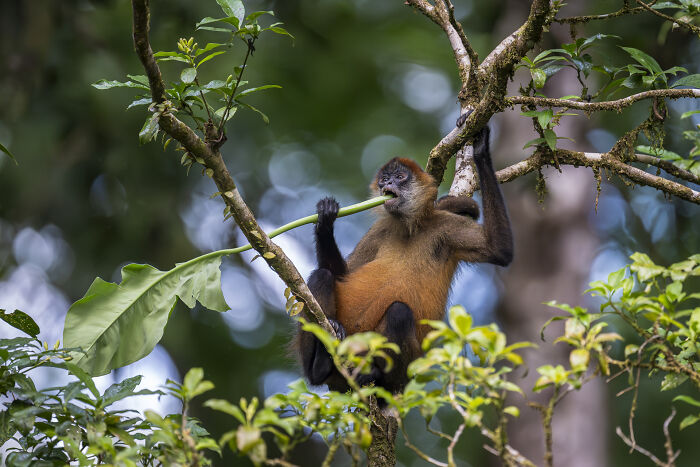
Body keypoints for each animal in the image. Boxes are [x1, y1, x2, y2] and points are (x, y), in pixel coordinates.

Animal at [297, 126, 512, 393]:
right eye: (384, 179)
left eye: (399, 176)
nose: (387, 183)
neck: (409, 226)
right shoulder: (380, 229)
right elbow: (340, 274)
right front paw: (325, 223)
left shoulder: (445, 226)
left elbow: (499, 250)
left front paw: (481, 147)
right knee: (322, 276)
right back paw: (319, 366)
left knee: (399, 312)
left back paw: (379, 378)